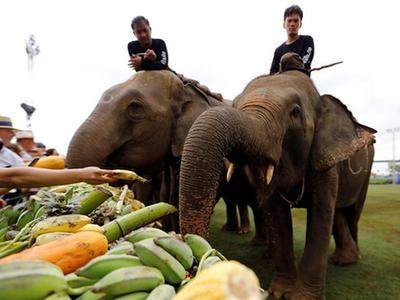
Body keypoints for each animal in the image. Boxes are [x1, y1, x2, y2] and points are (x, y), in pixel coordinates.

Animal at [178, 61, 376, 298]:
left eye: (295, 112)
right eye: (235, 104)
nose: (196, 267)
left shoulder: (325, 160)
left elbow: (320, 214)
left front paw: (302, 297)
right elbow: (277, 212)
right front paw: (279, 293)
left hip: (367, 172)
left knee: (352, 214)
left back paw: (352, 259)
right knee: (338, 213)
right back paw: (343, 259)